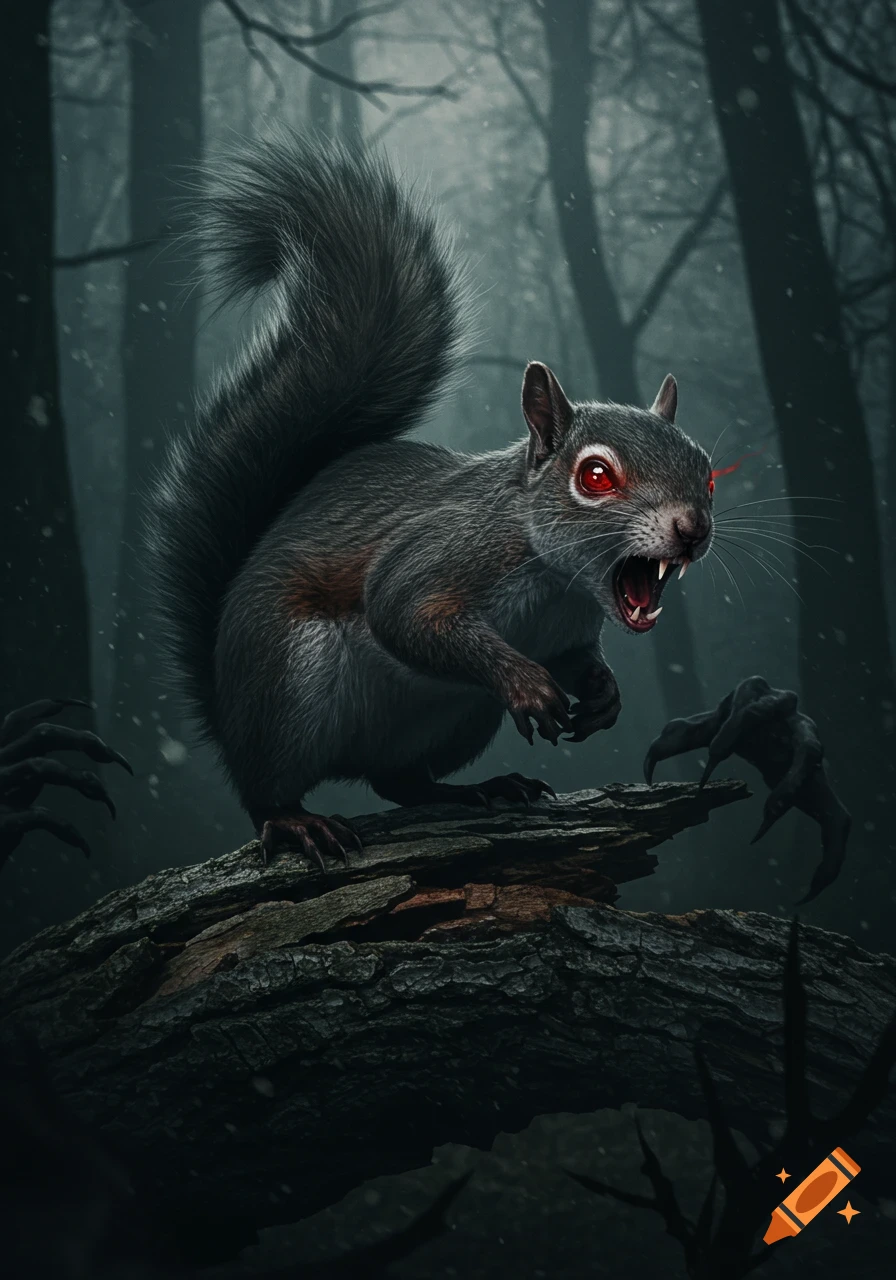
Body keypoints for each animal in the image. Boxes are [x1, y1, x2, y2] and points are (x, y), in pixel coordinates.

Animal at [146, 134, 714, 868]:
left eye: (706, 471)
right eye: (594, 476)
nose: (693, 530)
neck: (556, 580)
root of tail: (225, 706)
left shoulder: (566, 630)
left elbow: (578, 659)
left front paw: (603, 695)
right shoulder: (449, 549)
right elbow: (404, 611)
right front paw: (527, 683)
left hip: (457, 719)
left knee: (400, 781)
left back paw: (477, 790)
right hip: (290, 685)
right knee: (266, 787)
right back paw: (297, 821)